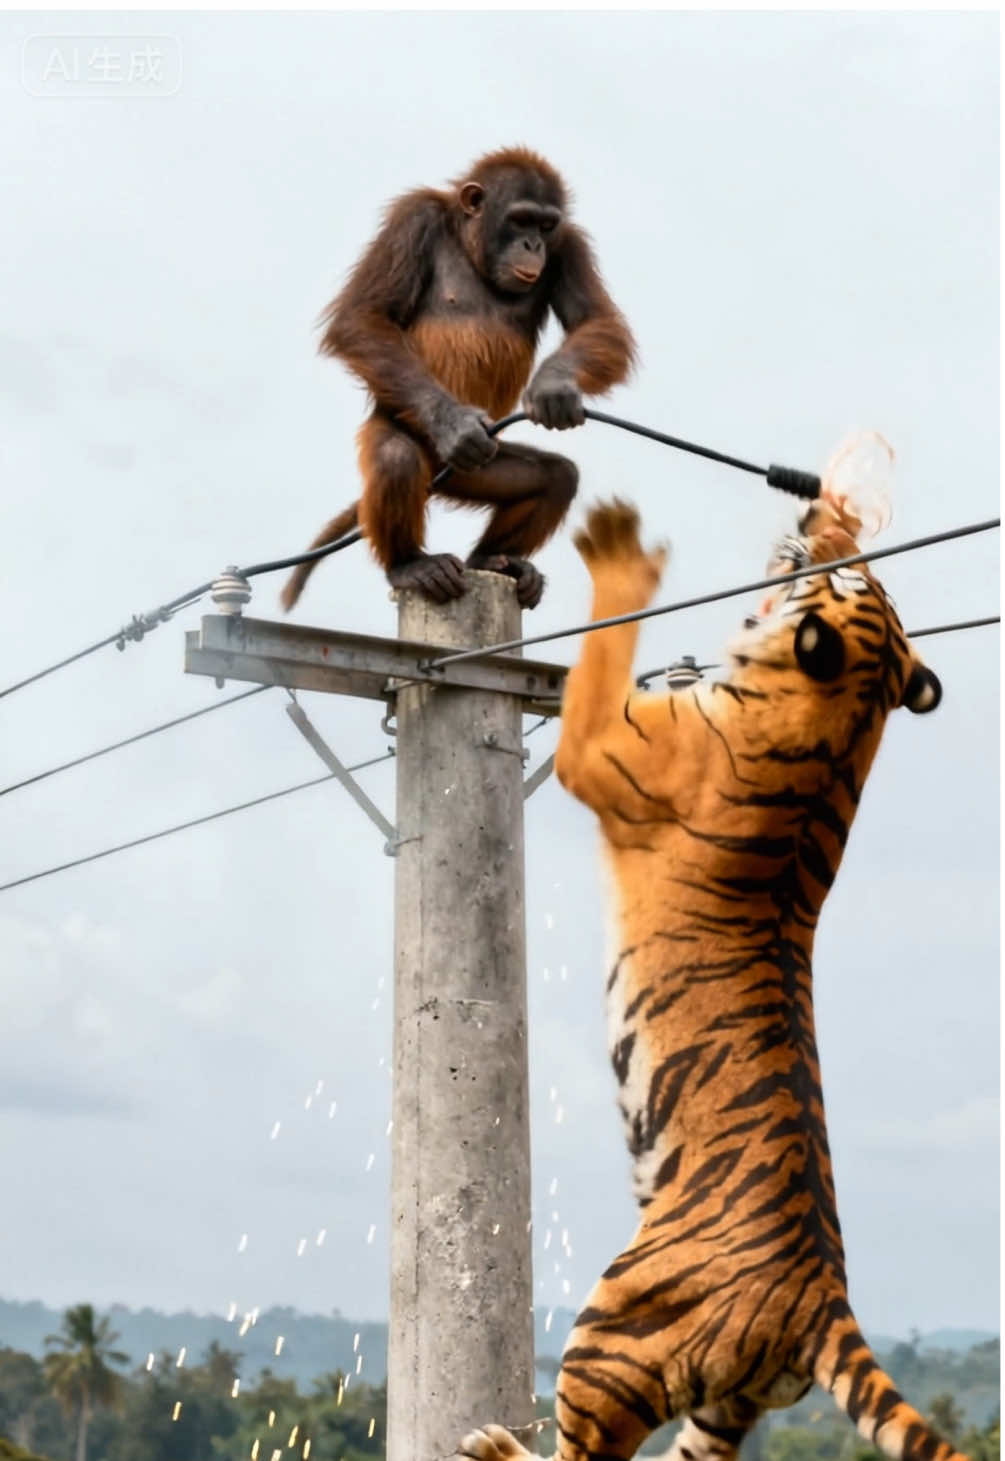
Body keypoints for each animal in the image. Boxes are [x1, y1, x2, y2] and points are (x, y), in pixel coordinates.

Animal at [280, 146, 636, 613]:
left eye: (545, 225)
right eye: (520, 220)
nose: (533, 244)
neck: (471, 248)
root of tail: (437, 479)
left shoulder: (569, 246)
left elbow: (596, 320)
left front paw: (554, 387)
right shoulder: (412, 219)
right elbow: (363, 318)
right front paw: (453, 422)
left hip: (481, 467)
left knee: (556, 476)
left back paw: (495, 559)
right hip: (424, 442)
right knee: (396, 457)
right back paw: (411, 564)